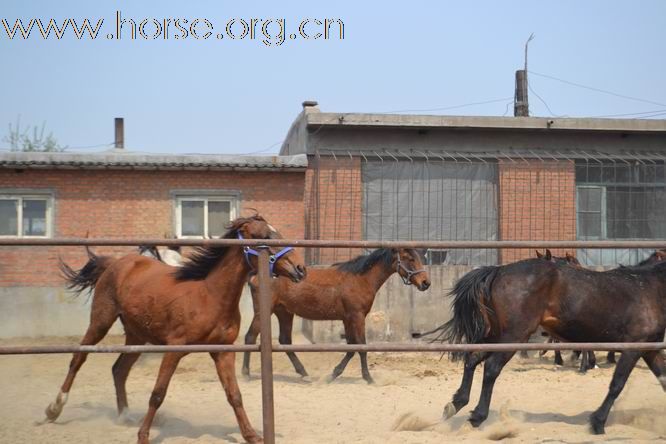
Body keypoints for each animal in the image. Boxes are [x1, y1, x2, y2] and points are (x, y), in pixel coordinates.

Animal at [45, 214, 304, 440]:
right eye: (265, 236)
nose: (300, 269)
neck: (209, 296)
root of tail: (116, 262)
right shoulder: (174, 349)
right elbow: (158, 393)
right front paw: (143, 436)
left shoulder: (223, 351)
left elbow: (235, 394)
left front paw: (251, 435)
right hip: (101, 321)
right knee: (78, 359)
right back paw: (54, 409)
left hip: (137, 335)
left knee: (119, 369)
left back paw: (125, 416)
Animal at [240, 248, 430, 384]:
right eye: (410, 258)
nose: (426, 283)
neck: (360, 278)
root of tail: (256, 275)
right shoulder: (357, 316)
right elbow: (361, 346)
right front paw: (368, 378)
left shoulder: (348, 318)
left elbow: (352, 347)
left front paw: (333, 374)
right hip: (264, 312)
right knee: (250, 337)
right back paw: (246, 375)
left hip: (284, 312)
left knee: (285, 341)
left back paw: (304, 374)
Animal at [430, 253, 664, 434]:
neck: (651, 289)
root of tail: (498, 271)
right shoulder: (633, 347)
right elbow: (617, 384)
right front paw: (597, 423)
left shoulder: (649, 349)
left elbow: (662, 379)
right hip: (514, 335)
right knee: (491, 368)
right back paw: (477, 416)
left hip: (497, 335)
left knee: (472, 359)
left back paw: (455, 404)